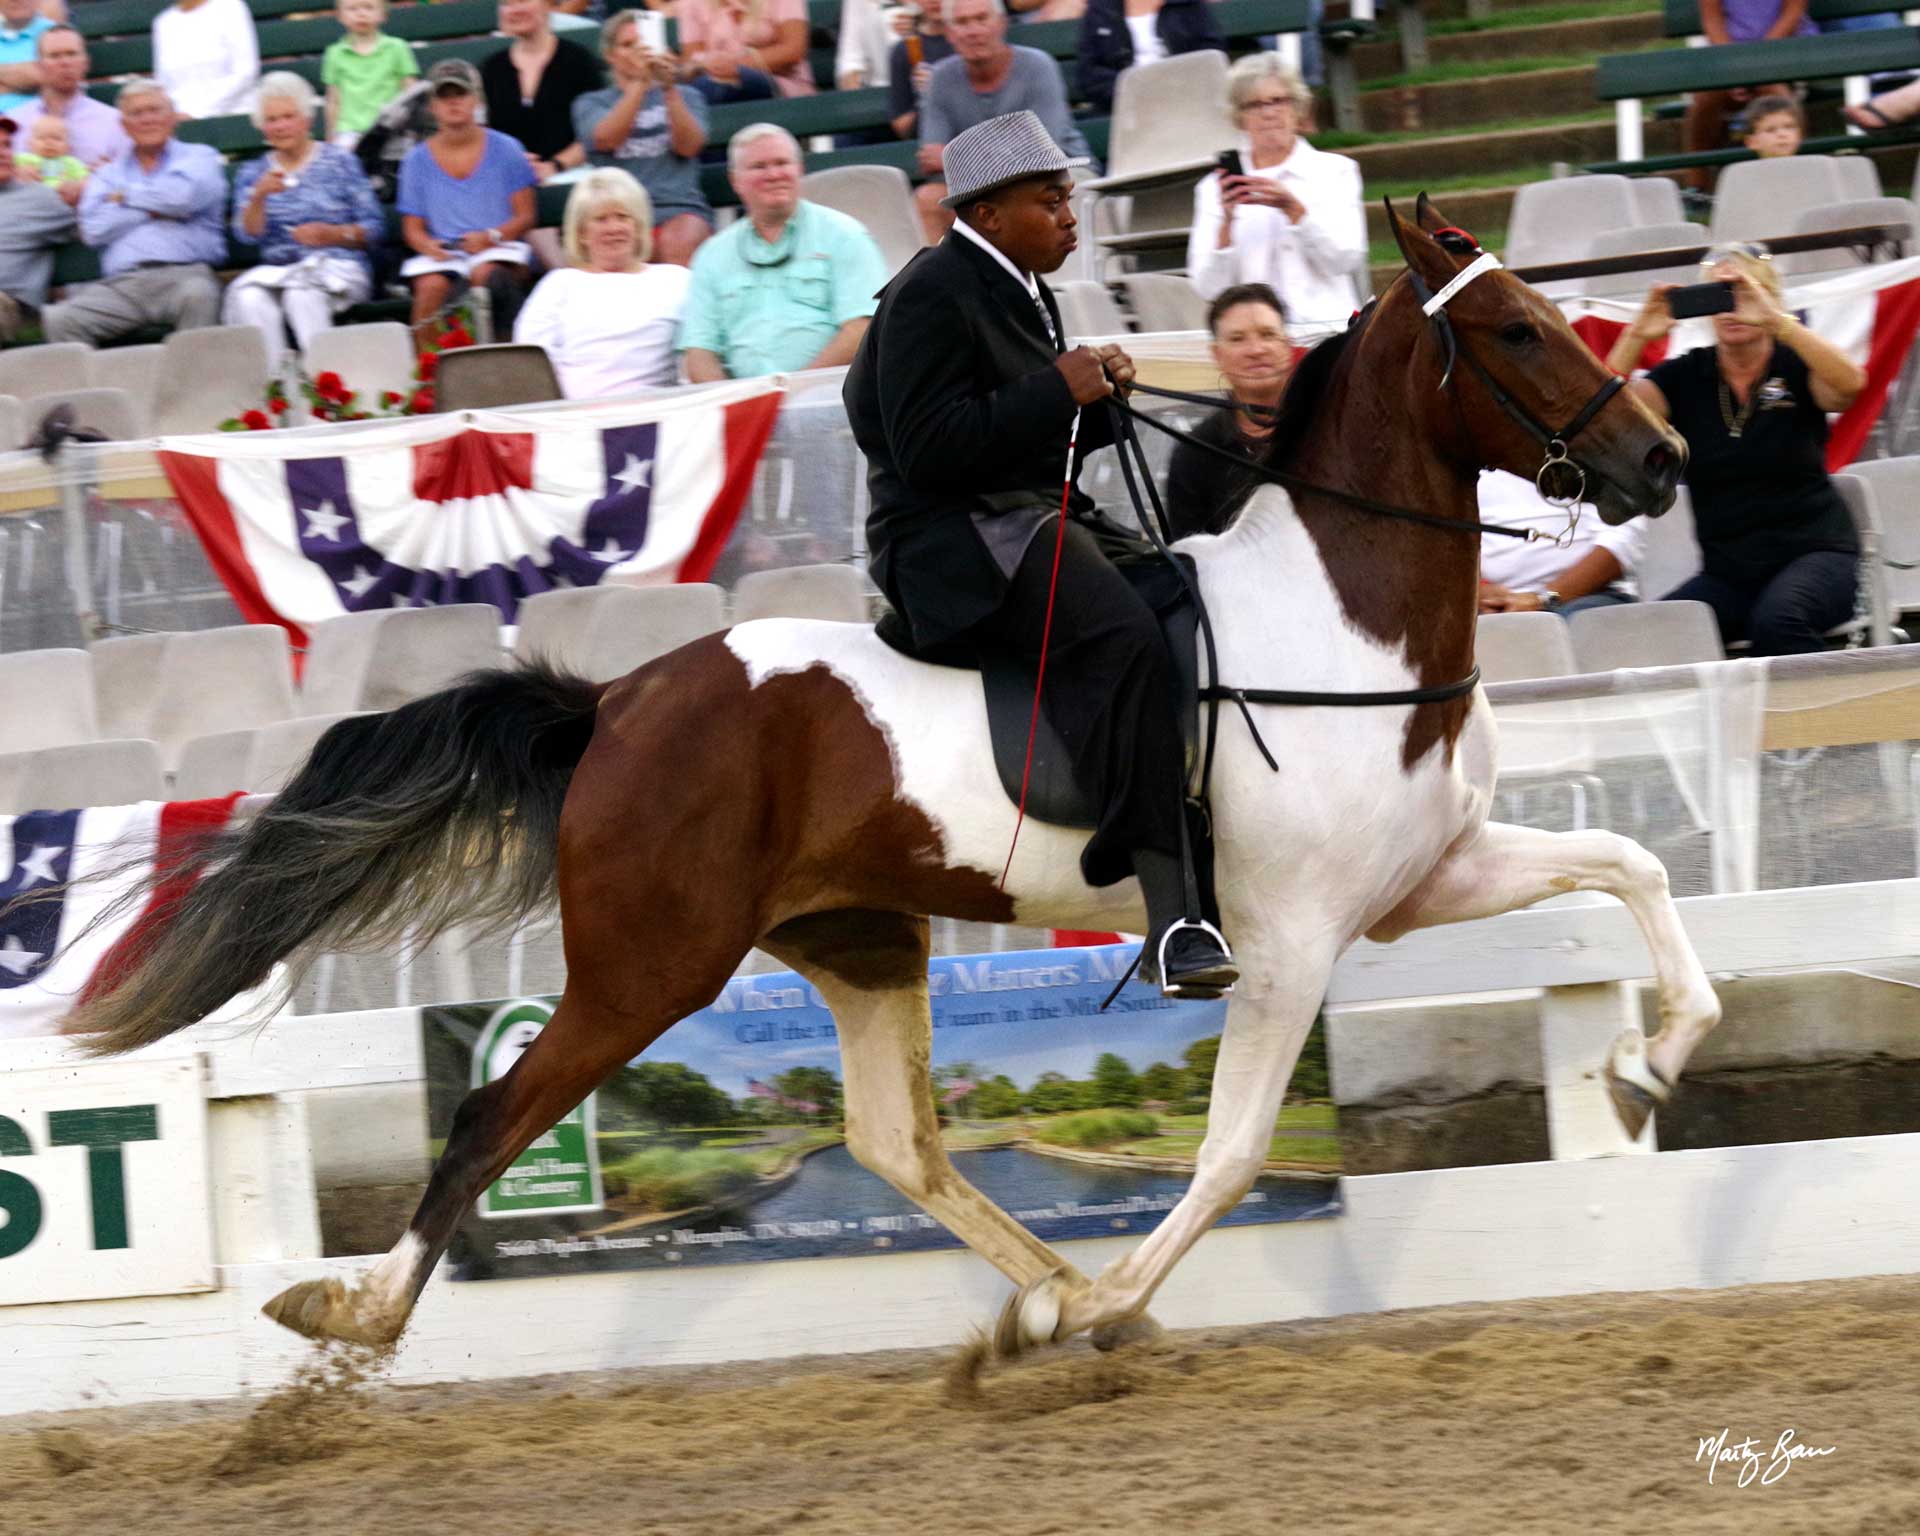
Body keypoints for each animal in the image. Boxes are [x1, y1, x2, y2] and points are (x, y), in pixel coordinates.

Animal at [62, 199, 1721, 1358]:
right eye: (1516, 331)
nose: (1660, 463)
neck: (1343, 624)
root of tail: (613, 706)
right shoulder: (1288, 940)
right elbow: (1237, 1147)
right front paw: (1118, 1302)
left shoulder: (1423, 880)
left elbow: (1635, 873)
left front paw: (1644, 1070)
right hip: (648, 966)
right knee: (490, 1117)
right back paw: (352, 1321)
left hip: (855, 938)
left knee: (893, 1144)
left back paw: (1040, 1297)